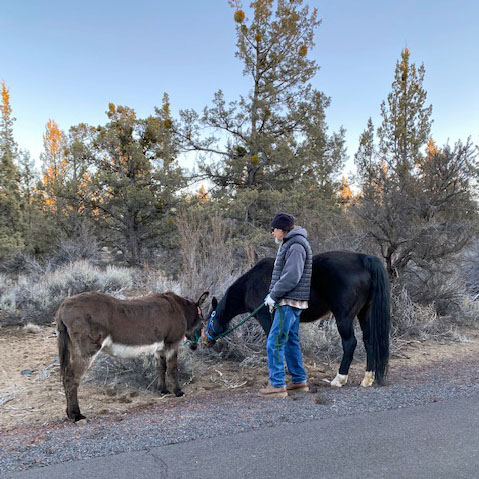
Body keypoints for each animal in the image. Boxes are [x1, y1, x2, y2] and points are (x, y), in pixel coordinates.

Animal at [56, 290, 209, 421]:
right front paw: (178, 392)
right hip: (87, 350)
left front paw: (163, 390)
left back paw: (70, 414)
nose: (195, 347)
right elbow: (173, 369)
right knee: (71, 378)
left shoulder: (160, 348)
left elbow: (161, 368)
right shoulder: (172, 344)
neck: (179, 308)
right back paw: (76, 415)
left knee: (66, 377)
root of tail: (63, 306)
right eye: (202, 322)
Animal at [204, 251, 390, 388]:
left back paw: (339, 379)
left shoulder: (266, 319)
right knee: (369, 341)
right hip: (364, 313)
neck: (250, 285)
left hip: (344, 318)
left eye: (210, 317)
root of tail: (362, 259)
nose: (205, 340)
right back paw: (367, 378)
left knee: (350, 343)